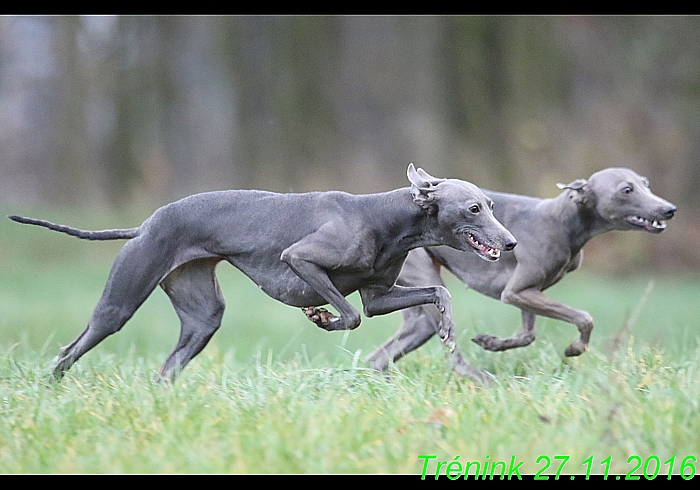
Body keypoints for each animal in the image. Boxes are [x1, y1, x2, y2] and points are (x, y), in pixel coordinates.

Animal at [8, 165, 516, 382]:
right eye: (474, 208)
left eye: (492, 204)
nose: (511, 243)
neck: (385, 216)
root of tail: (147, 223)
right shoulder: (300, 260)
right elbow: (350, 316)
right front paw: (322, 317)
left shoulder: (379, 296)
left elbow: (432, 296)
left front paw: (448, 327)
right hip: (120, 302)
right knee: (72, 348)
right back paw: (51, 386)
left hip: (202, 318)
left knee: (167, 368)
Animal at [370, 166, 676, 378]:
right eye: (626, 190)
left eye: (645, 184)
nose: (669, 209)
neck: (563, 221)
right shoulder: (516, 292)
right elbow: (584, 317)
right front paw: (575, 348)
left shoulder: (529, 292)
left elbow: (528, 335)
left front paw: (492, 343)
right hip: (424, 279)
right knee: (450, 354)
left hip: (415, 307)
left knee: (381, 355)